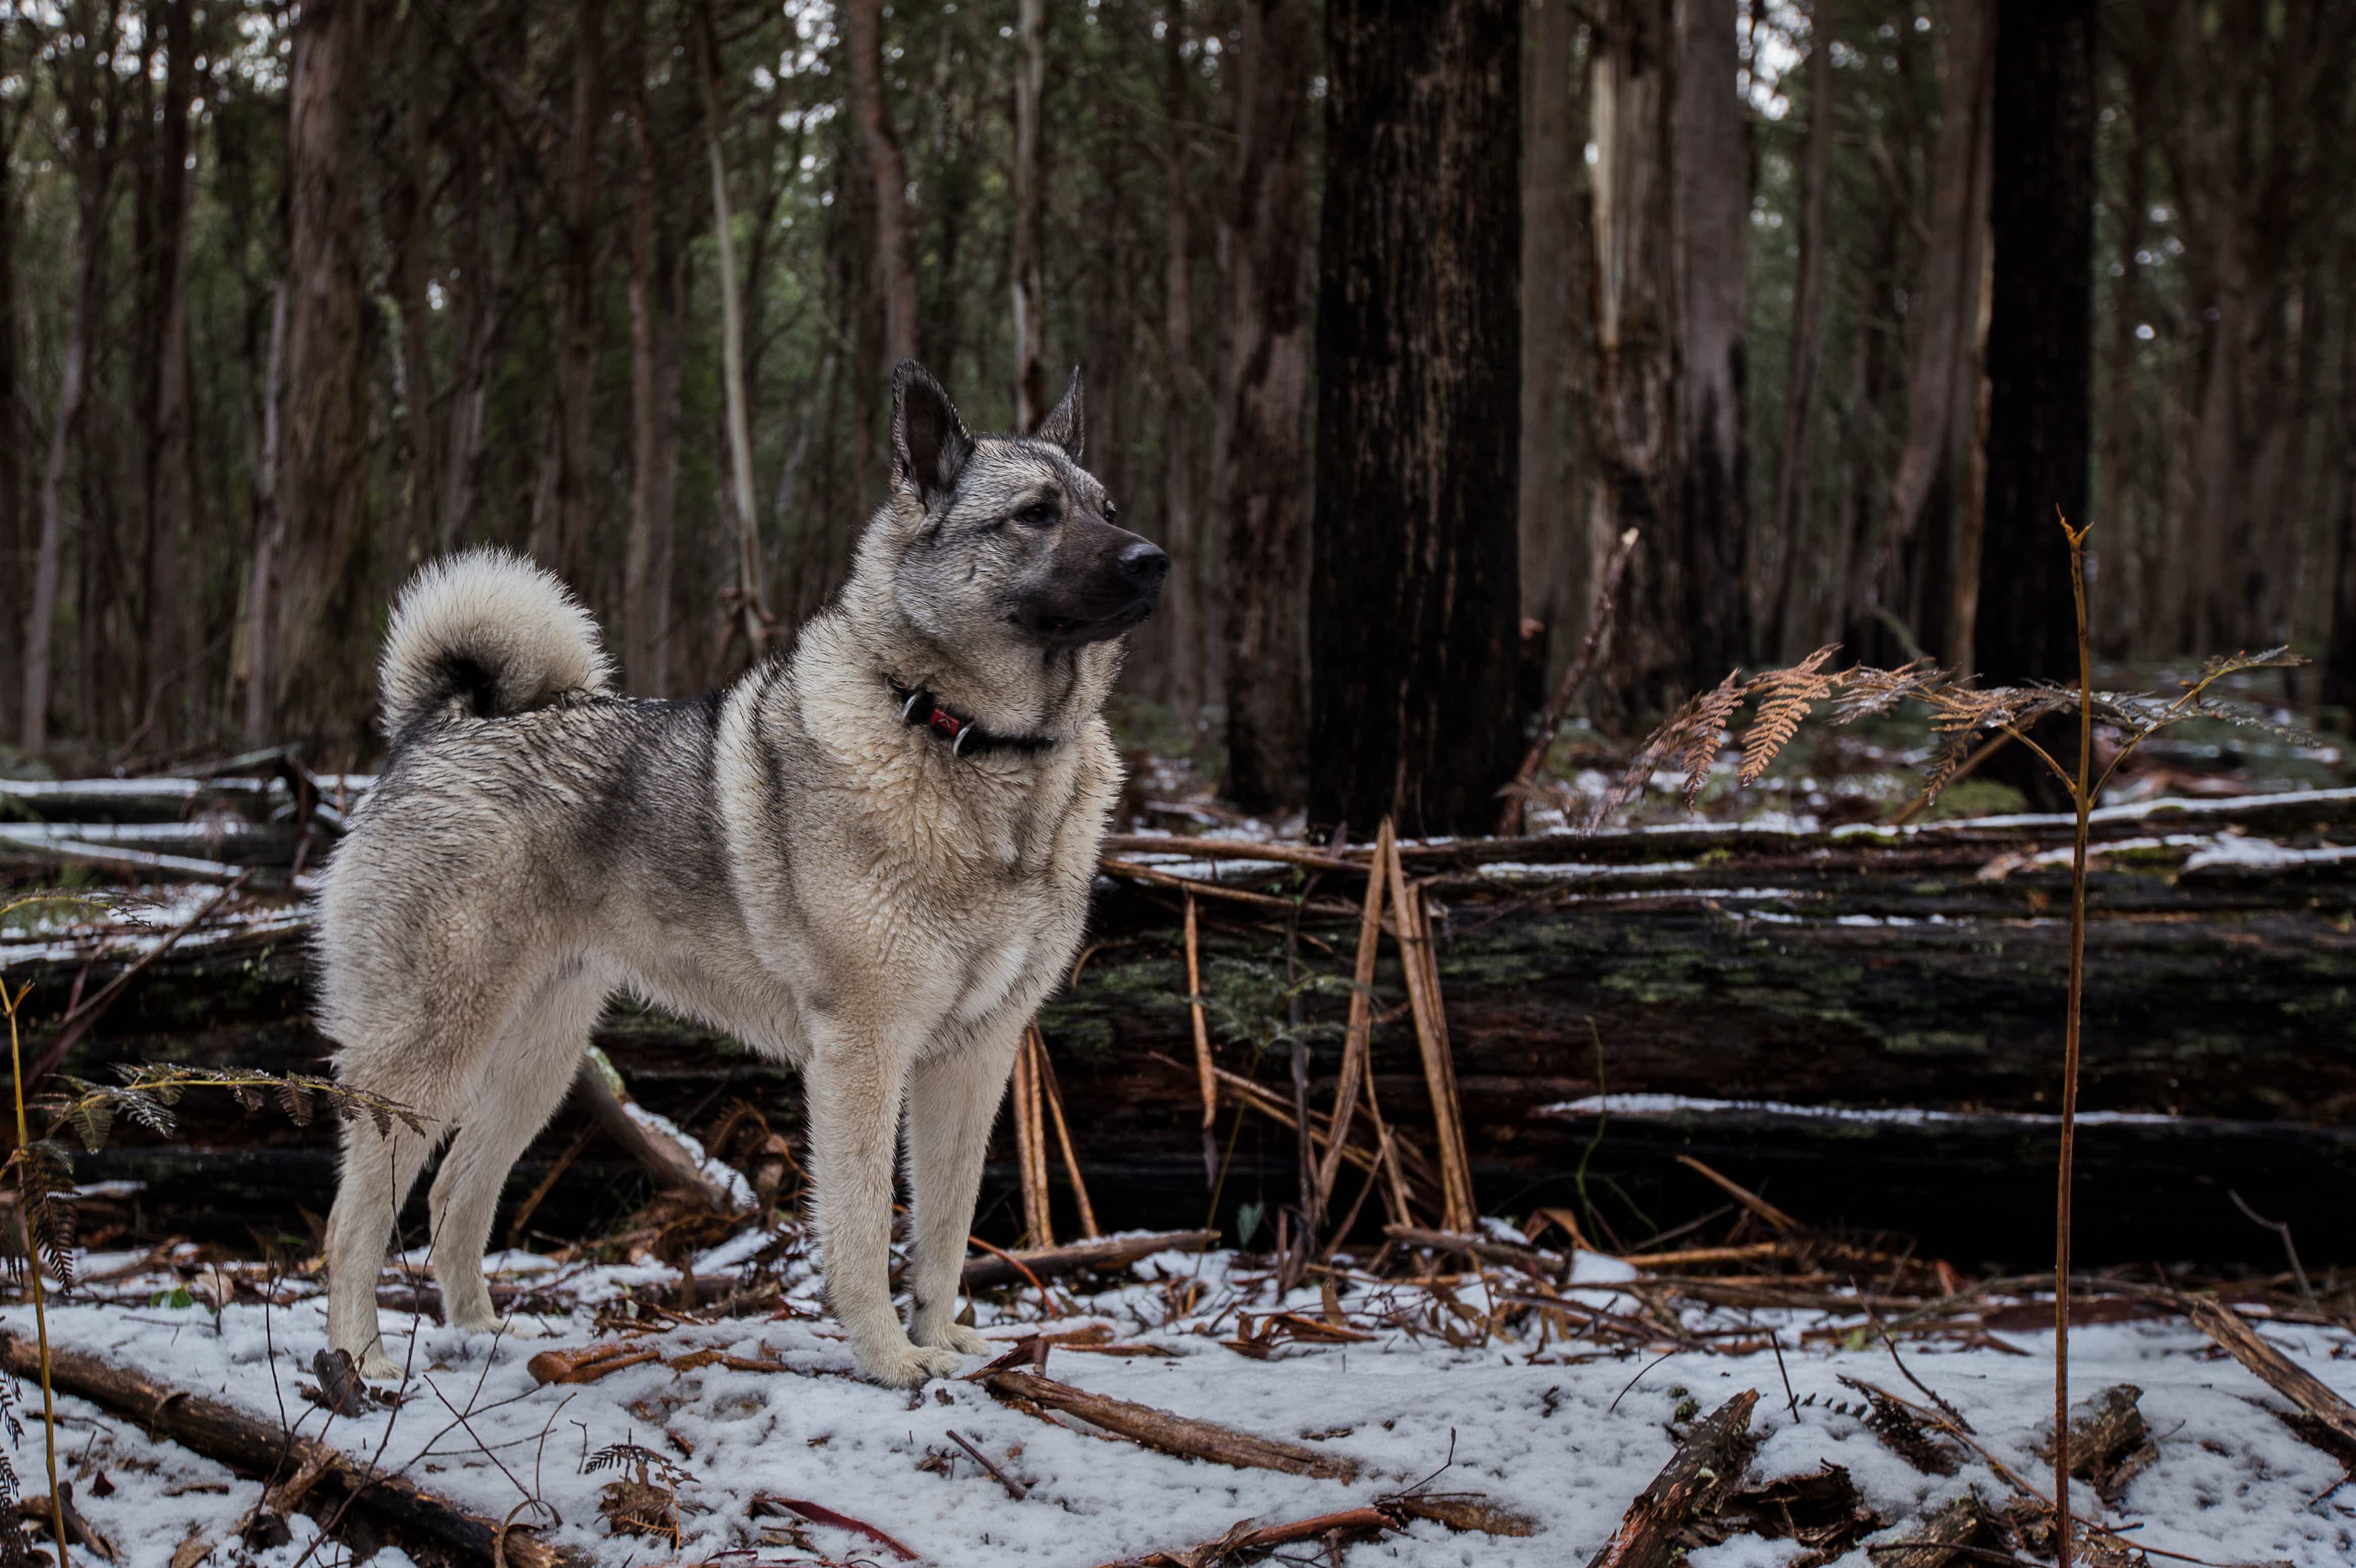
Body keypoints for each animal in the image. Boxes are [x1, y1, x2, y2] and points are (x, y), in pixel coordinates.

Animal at [318, 362, 1164, 1384]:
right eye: (1035, 515)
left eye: (1104, 508)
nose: (1152, 559)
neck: (971, 744)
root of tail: (440, 727)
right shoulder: (862, 1052)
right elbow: (861, 1225)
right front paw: (890, 1358)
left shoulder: (975, 1054)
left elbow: (945, 1225)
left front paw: (941, 1338)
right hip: (428, 1053)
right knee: (353, 1220)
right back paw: (358, 1361)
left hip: (537, 1059)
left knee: (453, 1198)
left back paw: (480, 1336)